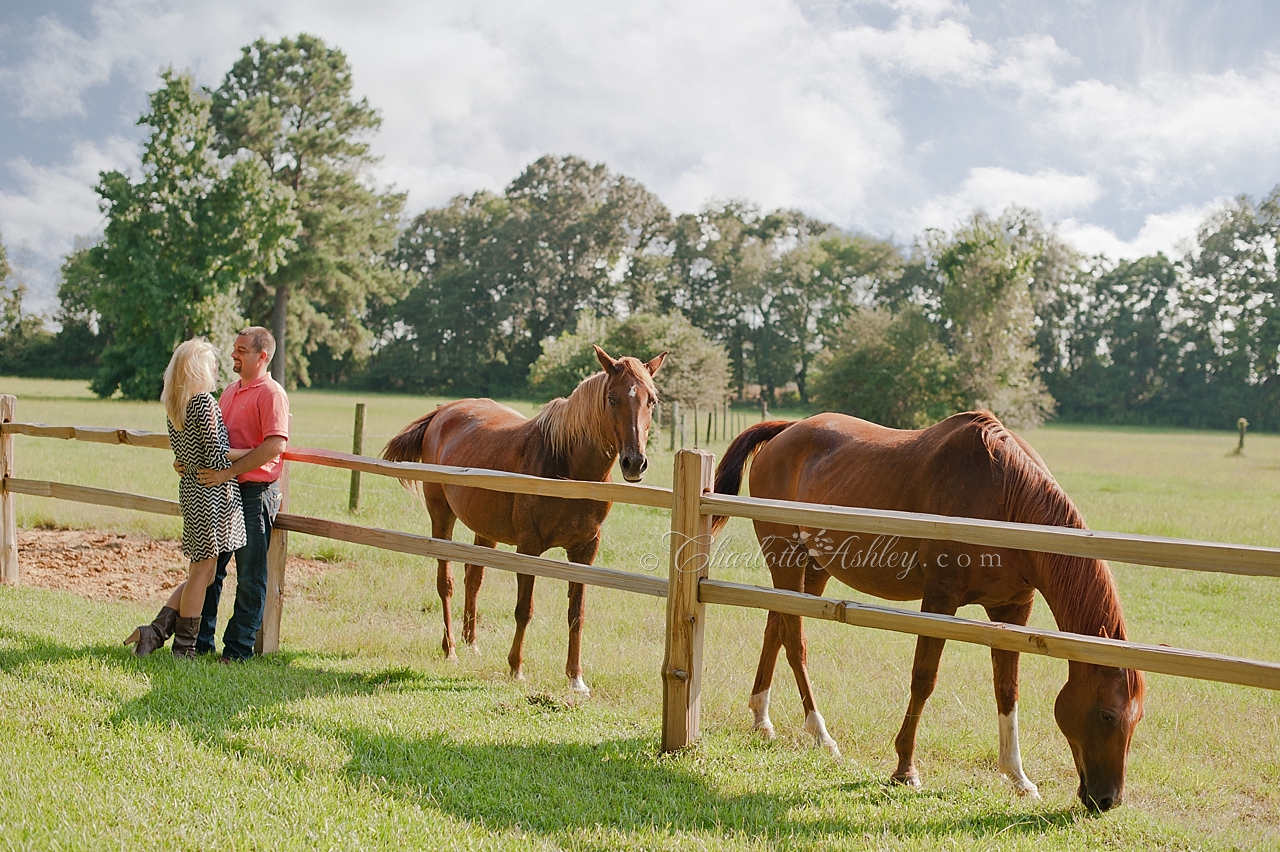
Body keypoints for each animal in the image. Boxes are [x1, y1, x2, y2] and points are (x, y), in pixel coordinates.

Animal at [381, 342, 665, 690]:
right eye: (612, 398)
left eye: (651, 400)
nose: (634, 462)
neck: (568, 467)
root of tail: (443, 412)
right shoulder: (529, 548)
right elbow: (524, 609)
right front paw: (516, 667)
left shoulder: (585, 550)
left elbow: (576, 613)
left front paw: (576, 678)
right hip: (441, 516)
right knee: (445, 582)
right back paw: (451, 649)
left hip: (484, 529)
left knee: (473, 577)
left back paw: (472, 643)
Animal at [716, 411, 1146, 808]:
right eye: (1107, 714)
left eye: (1137, 718)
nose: (1108, 799)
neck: (1006, 498)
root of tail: (787, 430)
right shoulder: (940, 601)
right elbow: (923, 679)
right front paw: (905, 769)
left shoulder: (1012, 608)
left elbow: (1007, 689)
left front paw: (1018, 777)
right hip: (787, 561)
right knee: (795, 641)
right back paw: (821, 735)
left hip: (814, 569)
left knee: (777, 628)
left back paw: (762, 718)